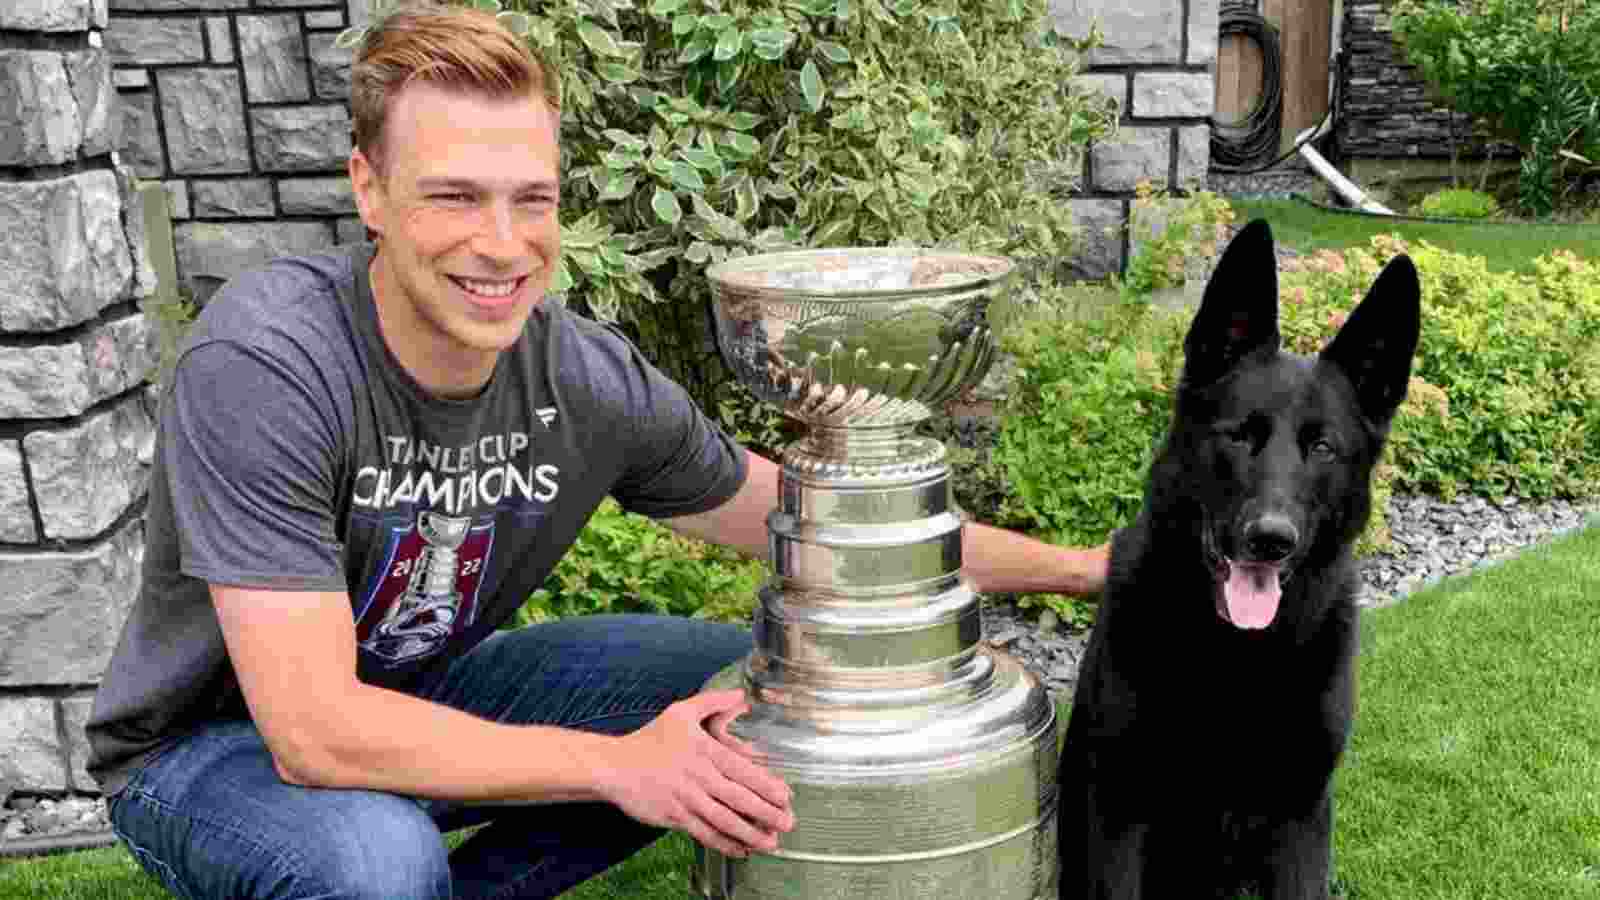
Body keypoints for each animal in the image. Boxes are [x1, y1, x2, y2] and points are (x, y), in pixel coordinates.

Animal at [1056, 219, 1420, 896]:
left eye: (1323, 448)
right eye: (1239, 435)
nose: (1270, 539)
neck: (1237, 656)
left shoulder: (1301, 818)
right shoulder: (1119, 810)